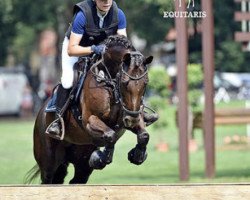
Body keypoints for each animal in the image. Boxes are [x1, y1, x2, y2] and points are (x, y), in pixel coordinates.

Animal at [26, 35, 153, 184]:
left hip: (79, 160)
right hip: (48, 159)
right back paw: (55, 128)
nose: (131, 119)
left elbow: (143, 135)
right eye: (125, 82)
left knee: (75, 179)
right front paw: (99, 159)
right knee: (48, 178)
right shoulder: (90, 120)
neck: (110, 84)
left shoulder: (130, 117)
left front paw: (138, 155)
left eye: (146, 83)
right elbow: (110, 135)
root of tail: (40, 114)